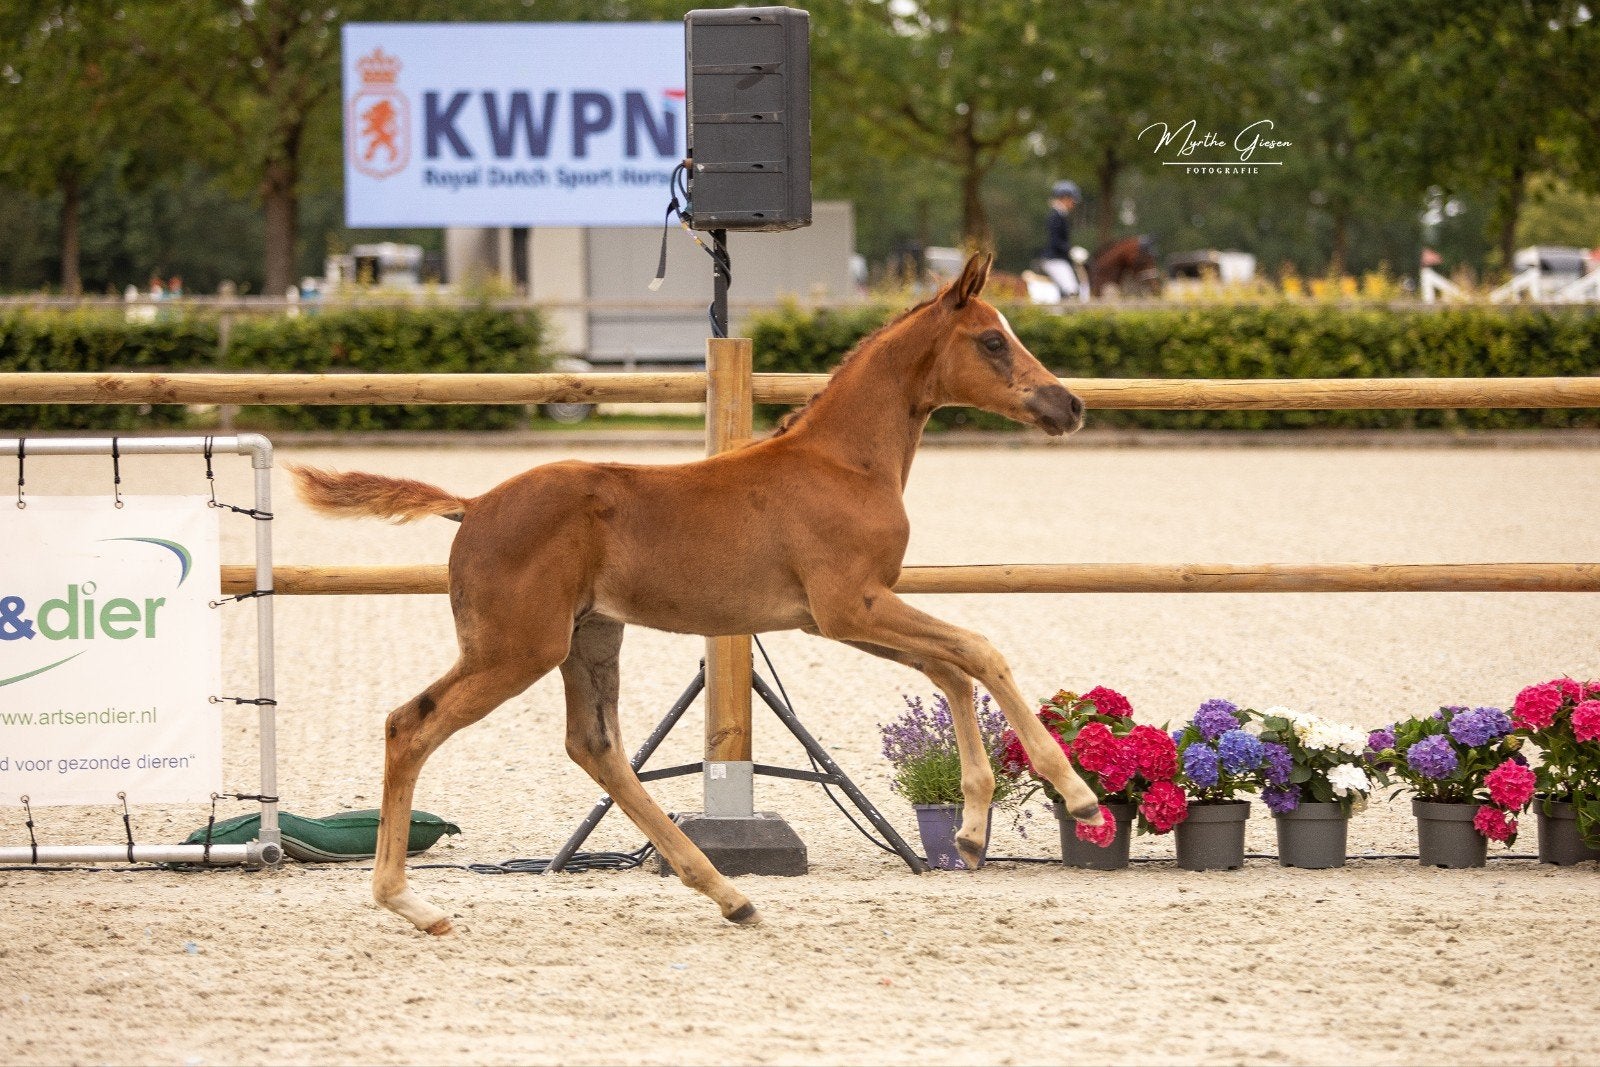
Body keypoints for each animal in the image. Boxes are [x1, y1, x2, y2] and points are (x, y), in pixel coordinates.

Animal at [289, 252, 1101, 935]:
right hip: (515, 648)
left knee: (595, 745)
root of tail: (474, 503)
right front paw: (1076, 791)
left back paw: (728, 892)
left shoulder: (835, 617)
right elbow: (980, 652)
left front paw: (970, 831)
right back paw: (409, 901)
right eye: (992, 341)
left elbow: (951, 671)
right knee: (411, 724)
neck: (843, 462)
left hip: (590, 636)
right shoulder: (850, 605)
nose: (1069, 407)